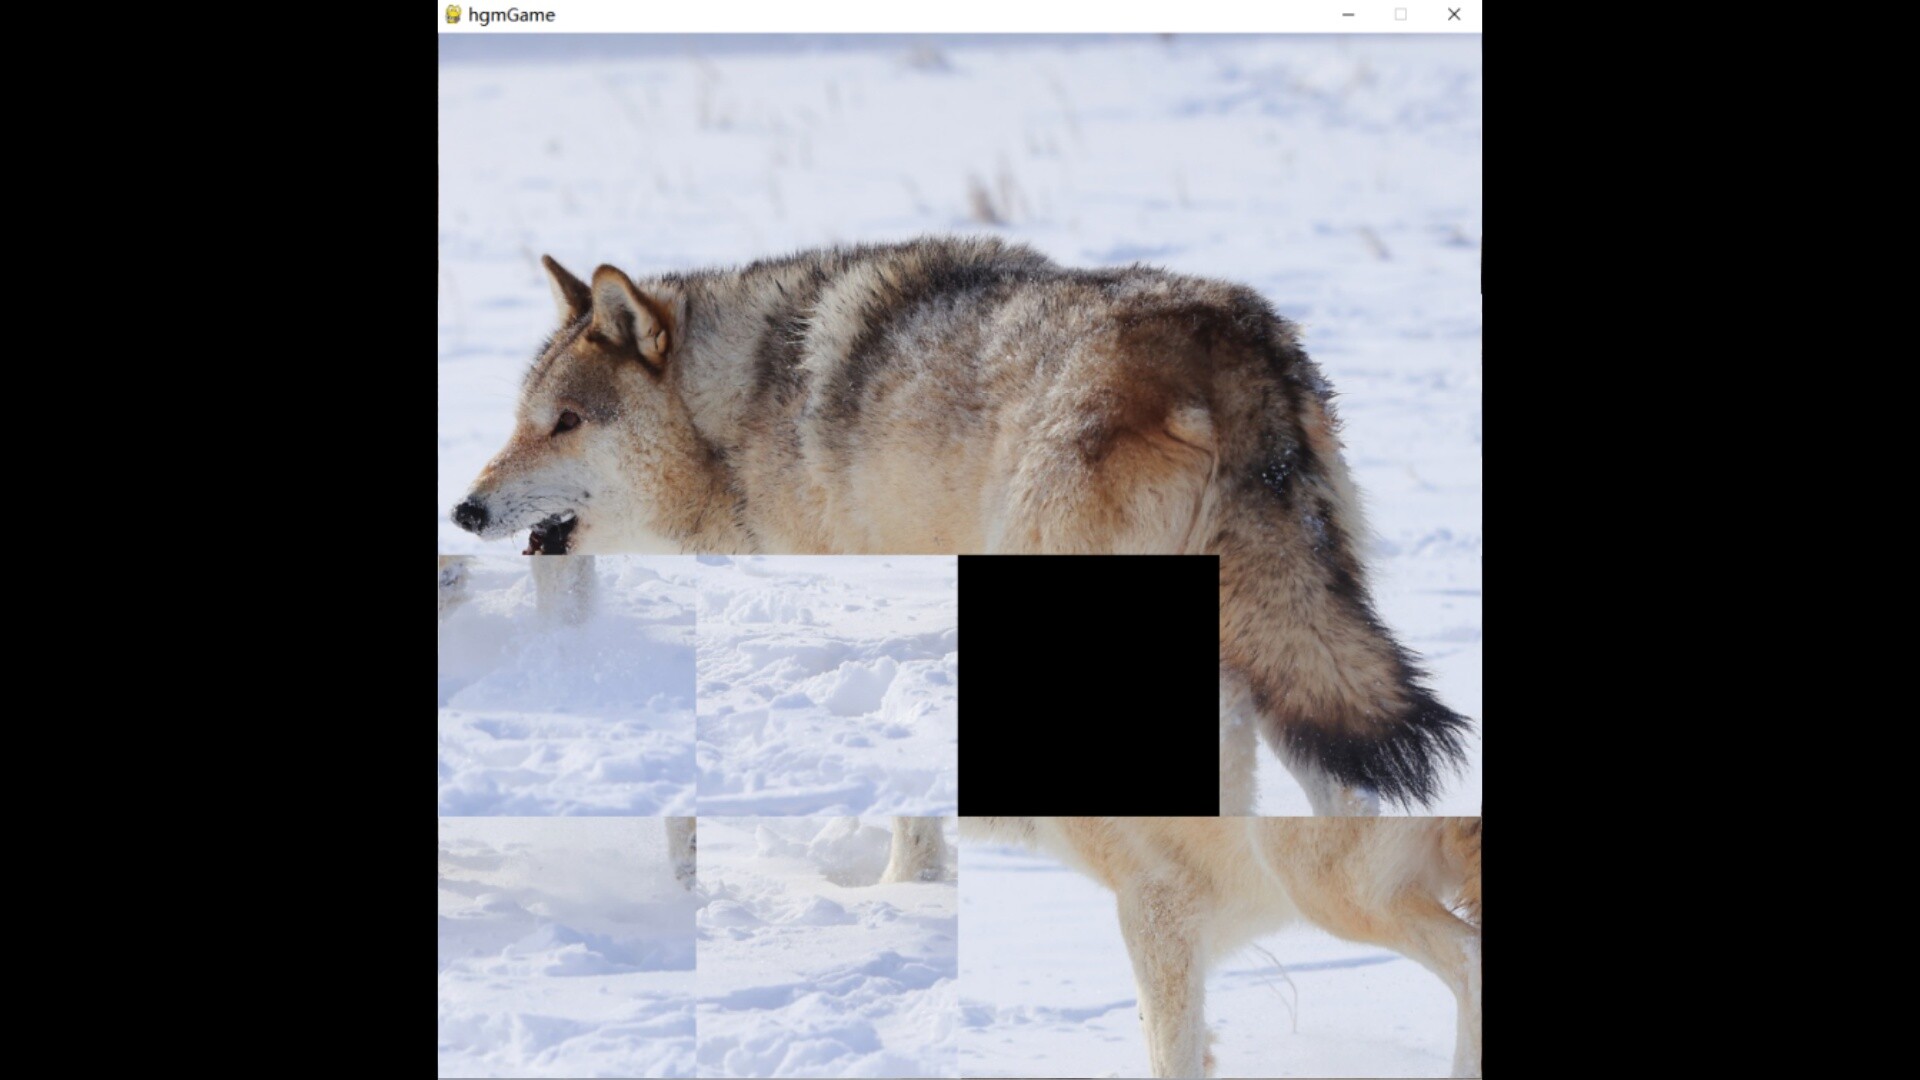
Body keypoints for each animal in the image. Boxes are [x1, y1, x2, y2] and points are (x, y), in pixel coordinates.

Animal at [451, 237, 1471, 814]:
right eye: (520, 419)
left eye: (564, 423)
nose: (464, 509)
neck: (734, 410)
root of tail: (1230, 343)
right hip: (1266, 642)